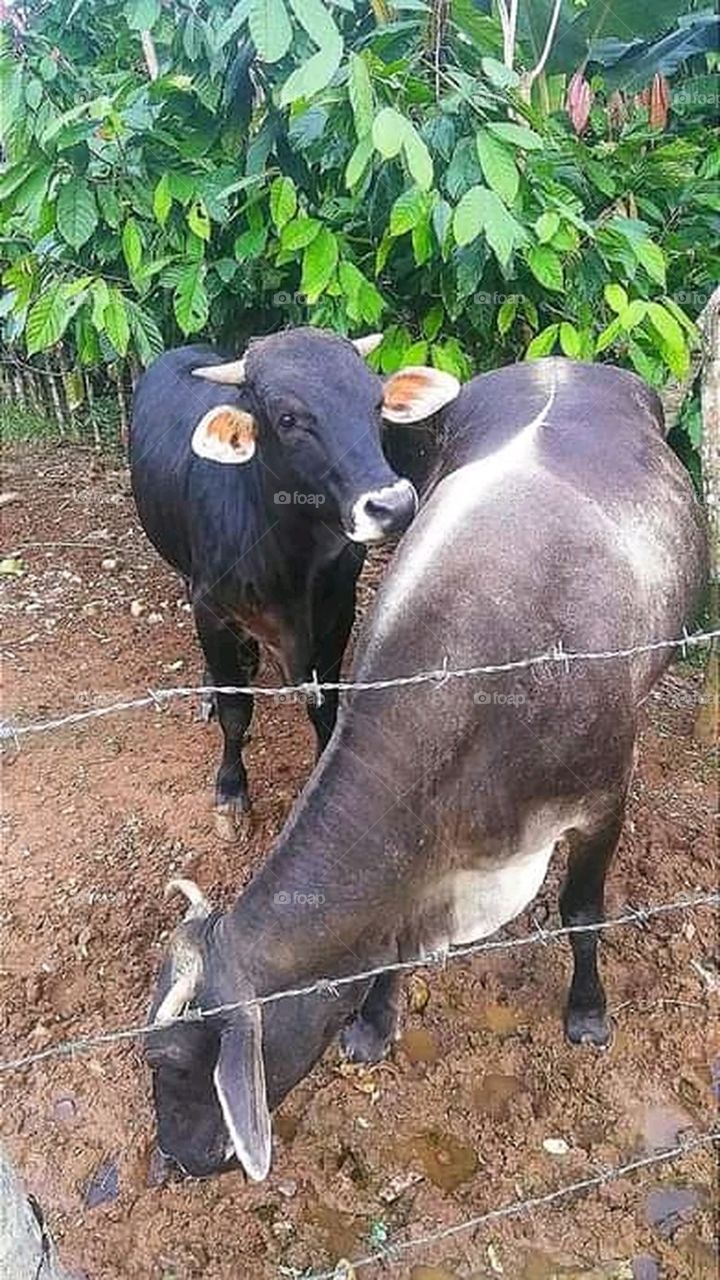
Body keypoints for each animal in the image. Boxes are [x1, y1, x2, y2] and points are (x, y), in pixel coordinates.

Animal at [130, 328, 461, 839]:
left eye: (376, 402)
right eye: (288, 418)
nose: (393, 506)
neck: (289, 557)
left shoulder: (337, 609)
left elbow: (325, 703)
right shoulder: (210, 607)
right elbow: (235, 710)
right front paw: (231, 793)